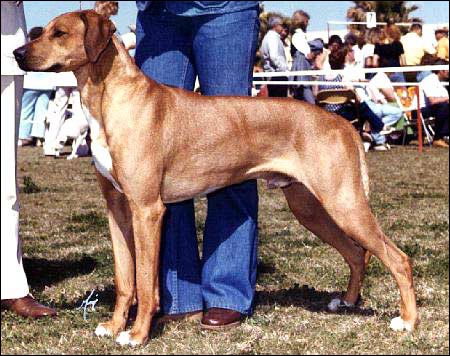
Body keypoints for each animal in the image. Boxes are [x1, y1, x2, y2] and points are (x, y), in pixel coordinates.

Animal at [14, 10, 420, 344]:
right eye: (42, 30)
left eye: (59, 33)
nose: (17, 53)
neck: (111, 98)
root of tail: (341, 122)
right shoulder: (117, 209)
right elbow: (125, 279)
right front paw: (114, 327)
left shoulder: (147, 209)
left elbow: (145, 282)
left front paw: (138, 335)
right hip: (311, 207)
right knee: (357, 253)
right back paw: (347, 302)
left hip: (342, 202)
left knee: (397, 258)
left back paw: (407, 321)